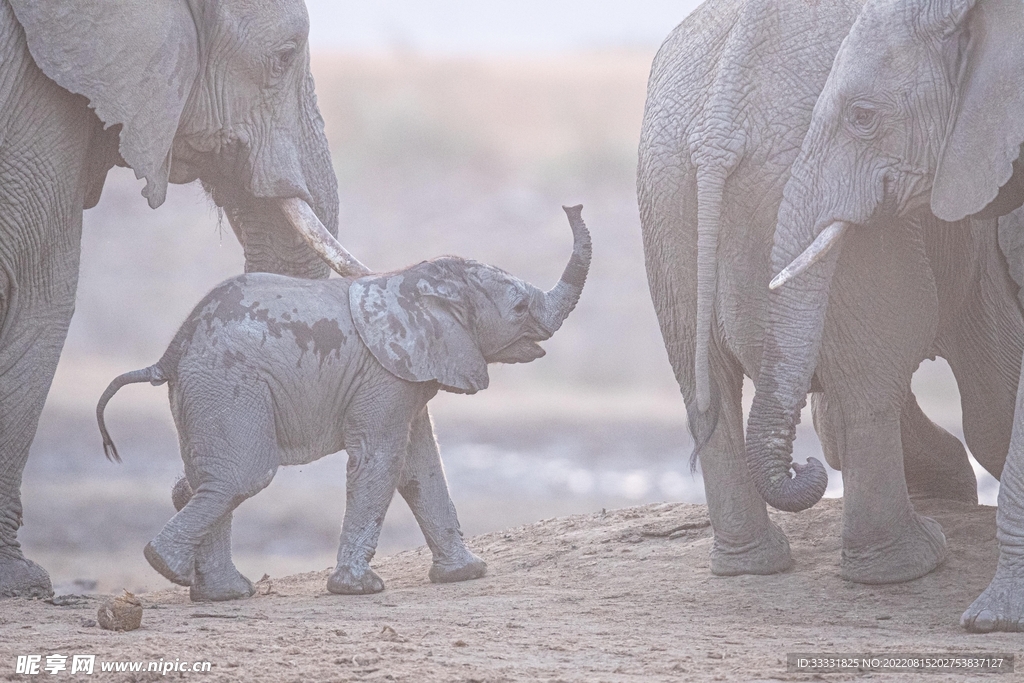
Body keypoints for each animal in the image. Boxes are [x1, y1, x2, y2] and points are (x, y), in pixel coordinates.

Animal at [94, 206, 591, 601]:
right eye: (519, 307)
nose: (573, 204)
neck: (414, 279)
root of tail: (171, 351)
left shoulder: (407, 374)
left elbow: (420, 466)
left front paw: (467, 574)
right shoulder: (385, 376)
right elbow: (382, 460)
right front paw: (359, 589)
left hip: (204, 391)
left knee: (205, 478)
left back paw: (223, 593)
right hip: (229, 383)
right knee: (242, 475)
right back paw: (167, 567)